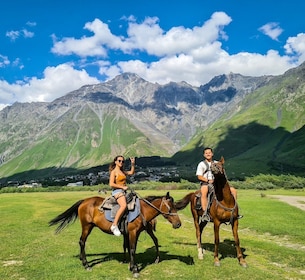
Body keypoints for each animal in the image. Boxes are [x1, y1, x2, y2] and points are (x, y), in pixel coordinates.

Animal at [48, 191, 180, 276]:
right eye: (170, 208)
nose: (178, 224)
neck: (141, 211)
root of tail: (84, 201)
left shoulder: (134, 233)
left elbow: (131, 248)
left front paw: (131, 266)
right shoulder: (132, 232)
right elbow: (132, 249)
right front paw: (135, 270)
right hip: (87, 226)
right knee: (82, 242)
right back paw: (86, 265)